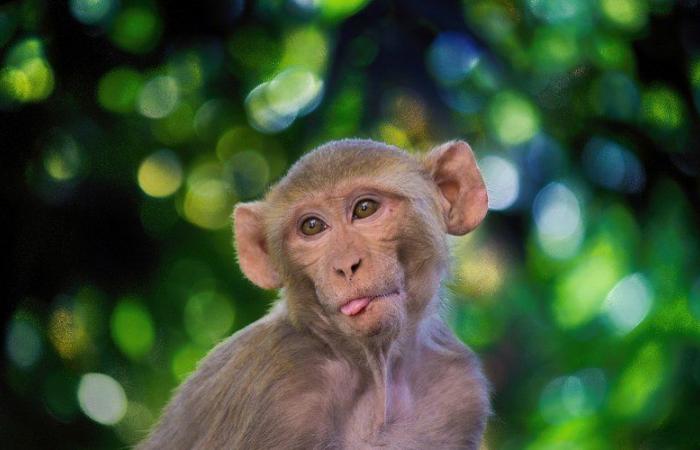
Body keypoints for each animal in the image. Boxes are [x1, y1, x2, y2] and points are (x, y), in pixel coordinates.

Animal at [138, 139, 492, 448]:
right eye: (312, 226)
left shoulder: (461, 389)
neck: (376, 376)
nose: (346, 265)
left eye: (365, 208)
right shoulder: (277, 388)